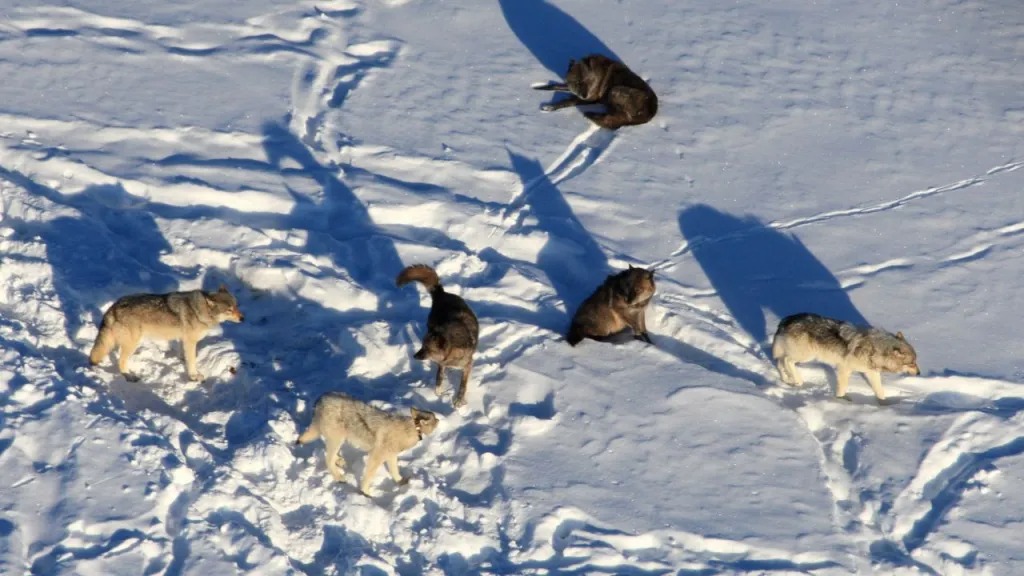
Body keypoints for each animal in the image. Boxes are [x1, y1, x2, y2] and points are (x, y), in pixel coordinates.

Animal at [88, 282, 243, 381]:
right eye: (229, 310)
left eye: (236, 306)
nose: (243, 318)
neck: (200, 311)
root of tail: (113, 308)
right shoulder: (191, 341)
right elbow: (192, 361)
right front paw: (193, 376)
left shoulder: (184, 339)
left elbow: (185, 355)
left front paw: (183, 360)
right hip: (132, 344)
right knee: (121, 361)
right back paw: (129, 377)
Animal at [296, 391, 440, 496]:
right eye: (434, 418)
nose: (439, 419)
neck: (412, 429)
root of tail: (320, 400)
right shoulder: (376, 457)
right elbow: (368, 476)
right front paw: (366, 493)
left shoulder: (391, 456)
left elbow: (395, 472)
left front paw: (400, 481)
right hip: (337, 439)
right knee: (328, 459)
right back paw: (339, 477)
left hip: (337, 439)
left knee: (330, 455)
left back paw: (340, 461)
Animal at [397, 262, 481, 405]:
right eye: (422, 346)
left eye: (427, 349)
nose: (414, 356)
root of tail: (441, 292)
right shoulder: (442, 364)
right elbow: (439, 377)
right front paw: (438, 392)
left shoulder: (467, 365)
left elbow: (463, 385)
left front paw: (459, 400)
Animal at [770, 311, 925, 401]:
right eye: (912, 363)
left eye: (915, 362)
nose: (919, 373)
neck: (875, 348)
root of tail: (786, 320)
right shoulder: (844, 369)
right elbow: (842, 389)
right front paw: (840, 401)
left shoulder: (871, 373)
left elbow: (880, 391)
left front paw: (884, 404)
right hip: (806, 355)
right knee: (787, 361)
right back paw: (798, 381)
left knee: (780, 362)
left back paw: (787, 379)